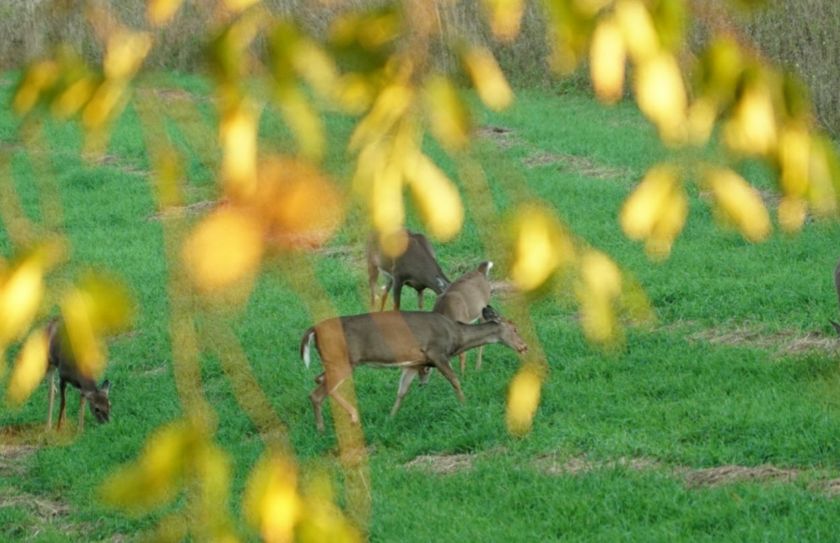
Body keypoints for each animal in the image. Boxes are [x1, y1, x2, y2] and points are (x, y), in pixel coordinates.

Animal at [300, 310, 524, 434]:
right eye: (514, 329)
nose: (525, 346)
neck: (456, 337)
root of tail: (313, 330)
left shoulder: (413, 363)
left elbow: (402, 391)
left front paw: (390, 418)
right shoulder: (436, 352)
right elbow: (455, 380)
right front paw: (465, 406)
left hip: (336, 363)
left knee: (318, 380)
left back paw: (350, 417)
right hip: (342, 362)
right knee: (316, 394)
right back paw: (324, 428)